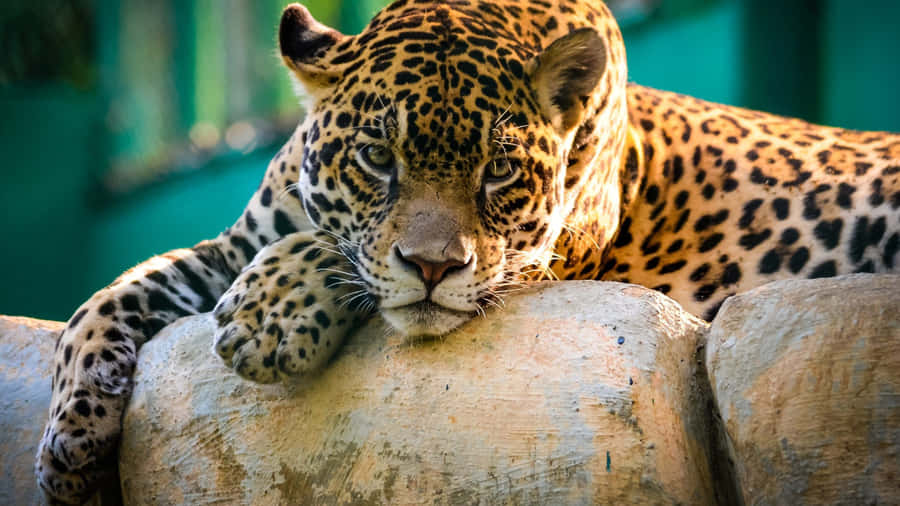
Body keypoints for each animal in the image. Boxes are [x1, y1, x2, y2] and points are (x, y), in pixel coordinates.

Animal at [36, 0, 900, 502]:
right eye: (377, 158)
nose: (434, 268)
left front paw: (268, 319)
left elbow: (340, 253)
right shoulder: (231, 245)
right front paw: (69, 442)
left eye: (500, 171)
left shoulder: (546, 257)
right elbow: (108, 296)